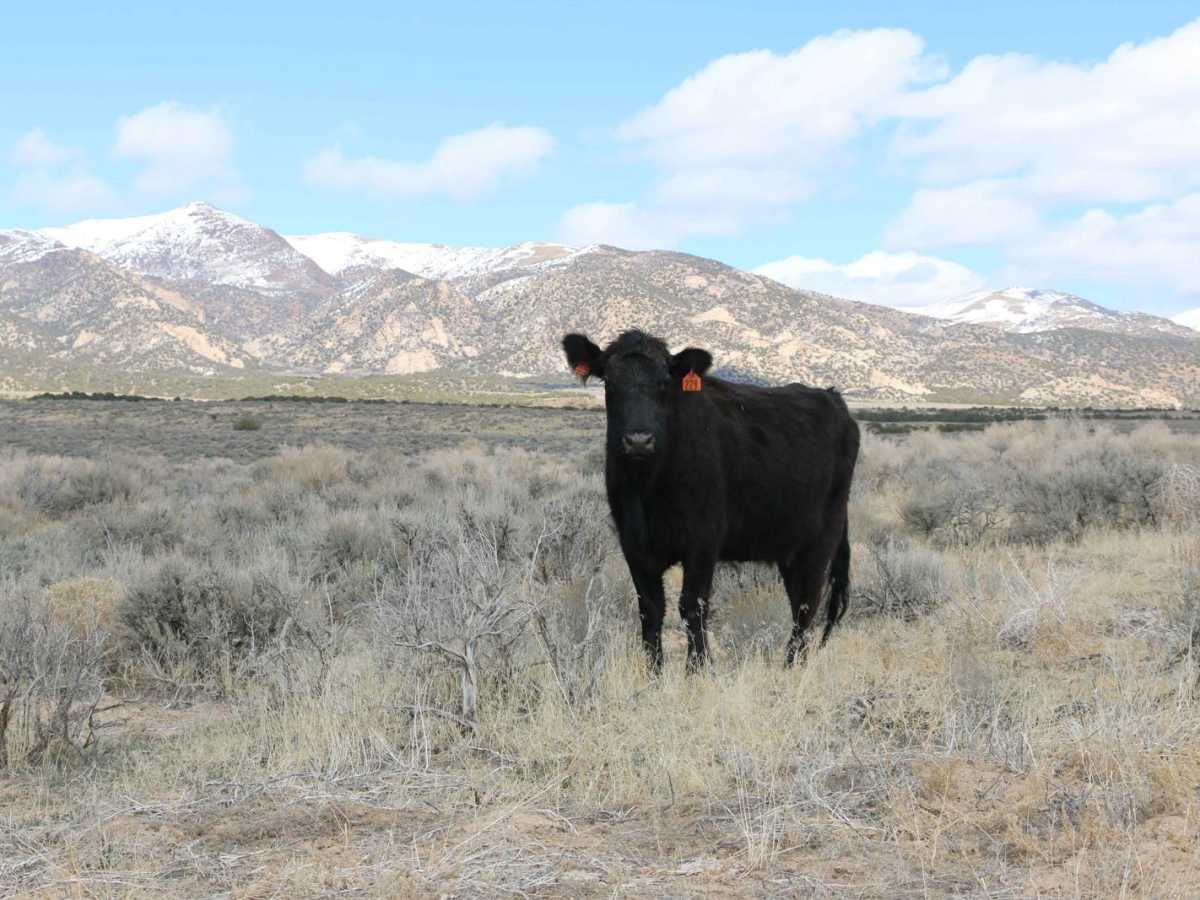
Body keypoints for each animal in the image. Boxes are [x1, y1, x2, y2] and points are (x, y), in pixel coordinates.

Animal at [562, 329, 859, 672]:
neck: (647, 489)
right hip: (789, 547)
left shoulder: (703, 543)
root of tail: (834, 398)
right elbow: (650, 611)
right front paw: (654, 674)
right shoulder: (634, 546)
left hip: (822, 538)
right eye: (609, 382)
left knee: (807, 605)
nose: (638, 440)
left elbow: (692, 607)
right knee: (798, 601)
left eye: (664, 382)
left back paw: (790, 667)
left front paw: (697, 671)